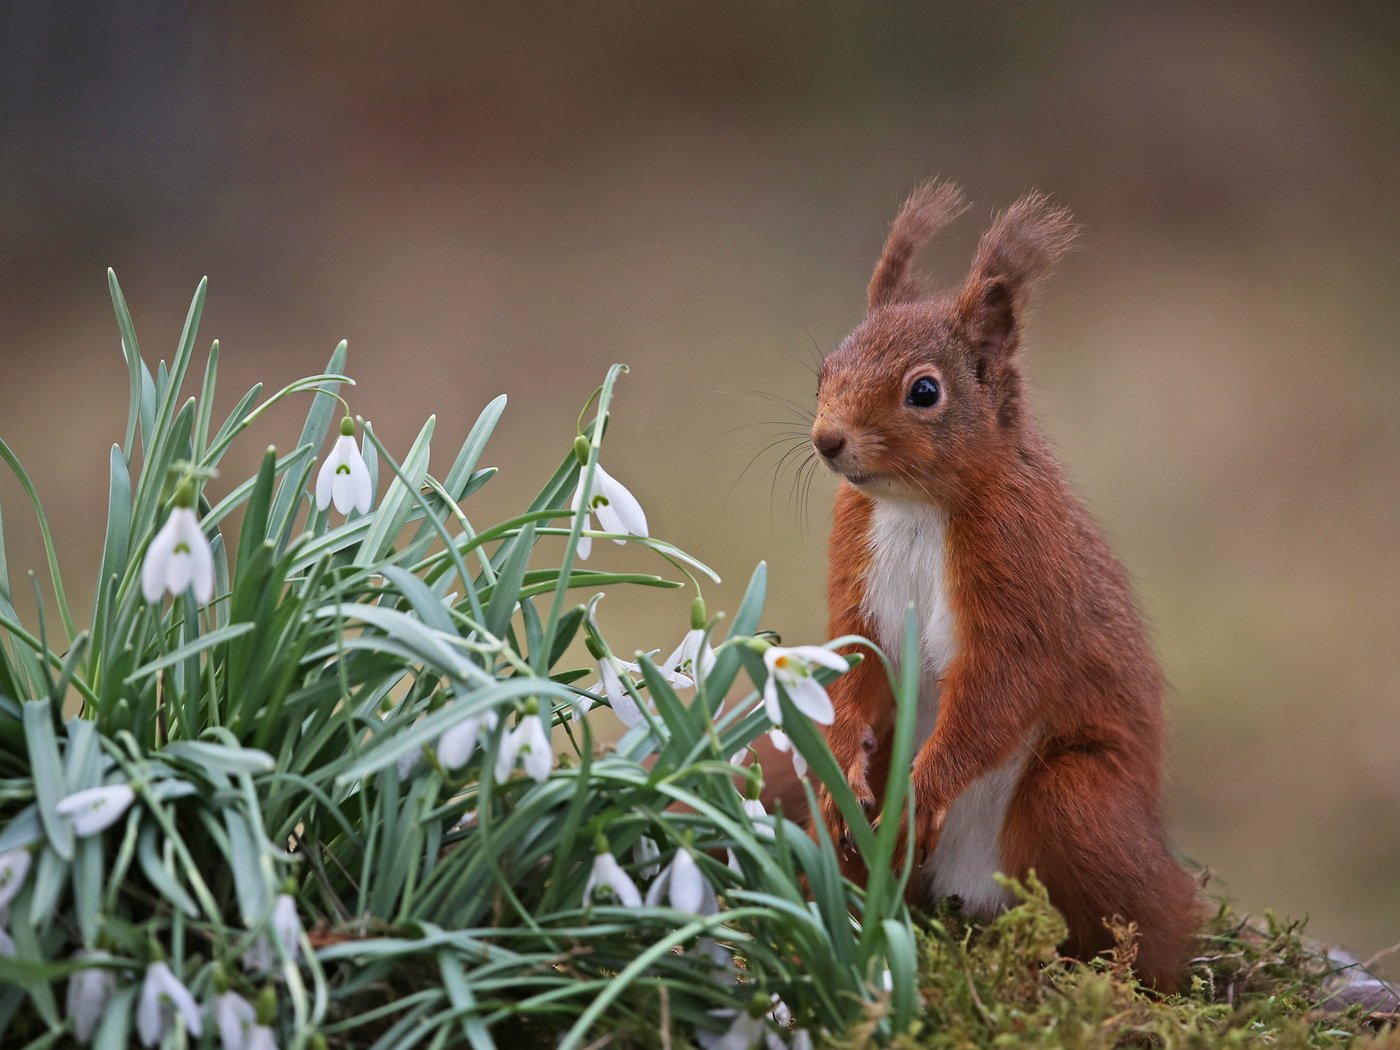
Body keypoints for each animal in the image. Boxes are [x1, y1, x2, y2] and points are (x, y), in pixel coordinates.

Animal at [817, 183, 1198, 996]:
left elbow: (999, 688)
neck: (915, 506)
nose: (827, 440)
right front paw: (840, 761)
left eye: (925, 390)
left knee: (1149, 928)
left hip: (1079, 802)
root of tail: (970, 896)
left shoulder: (1023, 571)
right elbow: (857, 658)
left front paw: (924, 793)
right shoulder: (855, 560)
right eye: (826, 365)